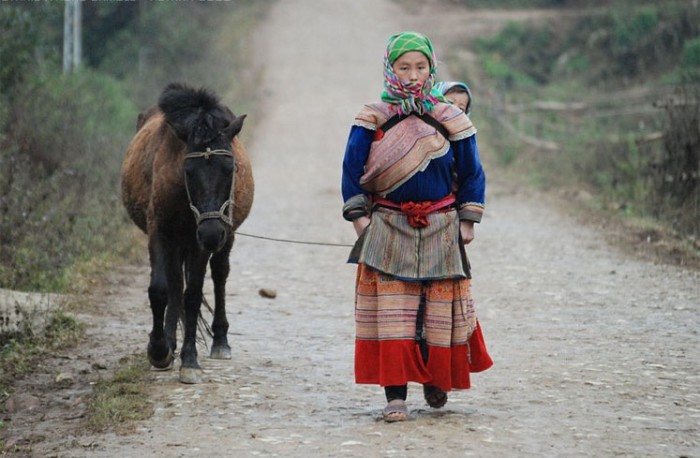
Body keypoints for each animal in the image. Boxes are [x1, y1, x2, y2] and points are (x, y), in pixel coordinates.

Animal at [122, 83, 254, 382]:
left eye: (231, 168)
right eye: (188, 169)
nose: (211, 233)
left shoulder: (199, 243)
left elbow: (192, 295)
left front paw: (190, 360)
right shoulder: (160, 232)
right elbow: (161, 289)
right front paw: (159, 350)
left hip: (222, 238)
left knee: (219, 274)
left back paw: (220, 341)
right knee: (173, 284)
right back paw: (170, 342)